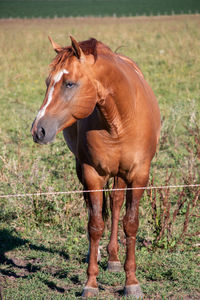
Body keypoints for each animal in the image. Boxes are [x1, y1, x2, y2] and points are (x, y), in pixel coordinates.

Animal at [31, 35, 161, 298]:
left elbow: (130, 224)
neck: (119, 119)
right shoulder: (92, 175)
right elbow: (95, 225)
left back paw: (113, 258)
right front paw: (90, 283)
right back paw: (102, 254)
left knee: (116, 203)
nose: (38, 130)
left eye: (69, 84)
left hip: (120, 175)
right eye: (48, 82)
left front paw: (131, 282)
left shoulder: (139, 175)